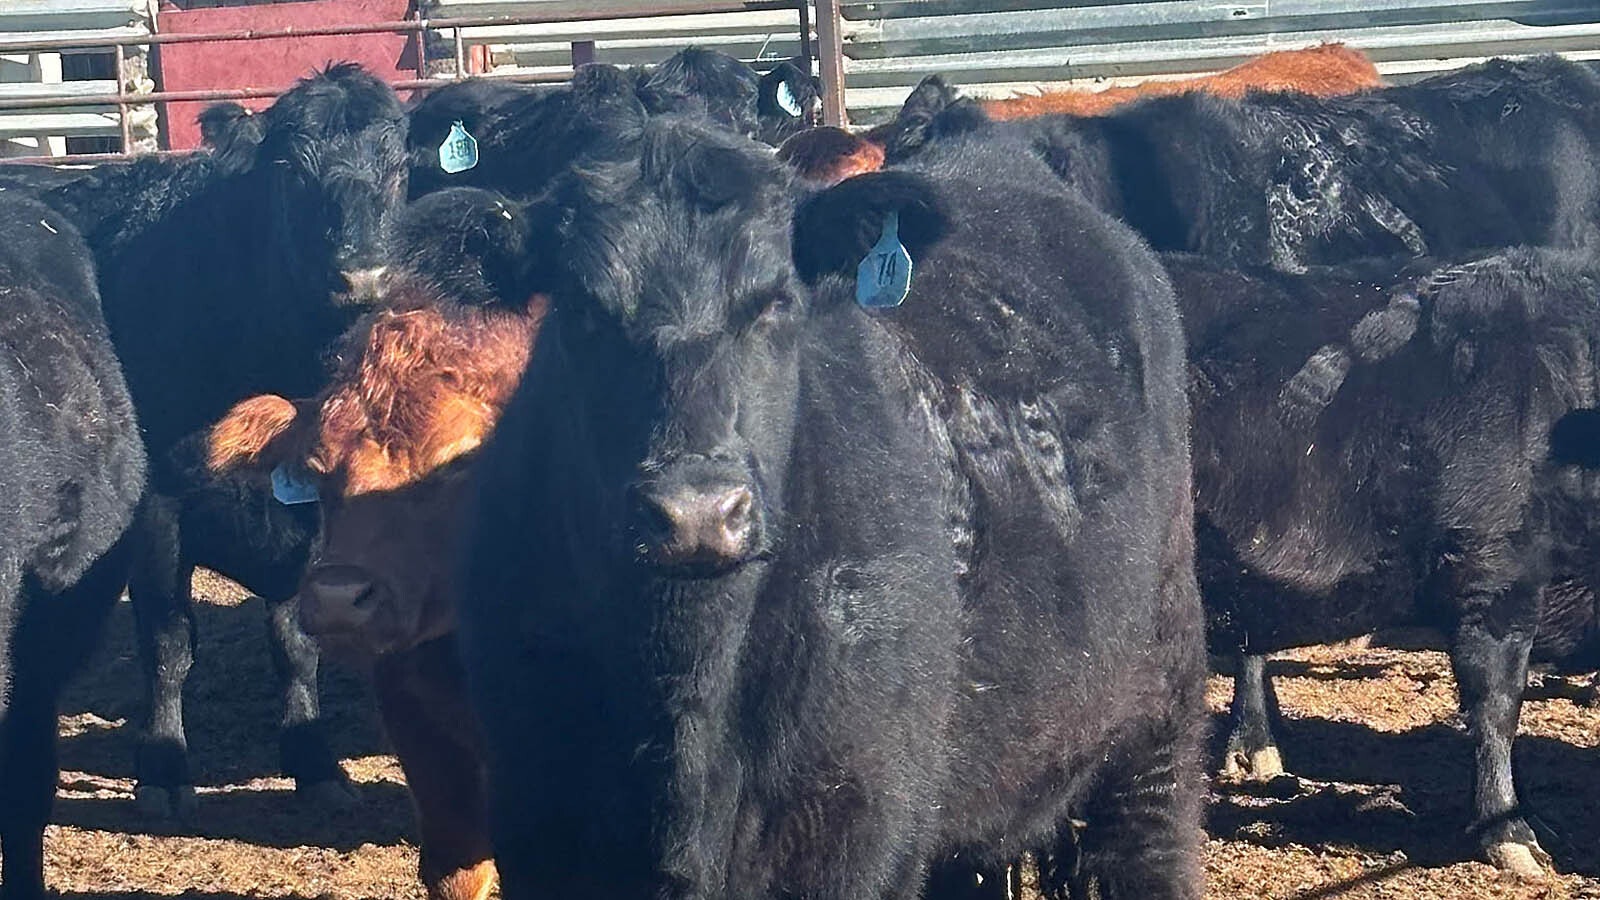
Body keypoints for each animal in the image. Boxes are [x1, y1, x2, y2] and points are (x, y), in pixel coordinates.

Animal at [34, 63, 410, 818]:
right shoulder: (158, 509)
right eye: (290, 171)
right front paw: (163, 766)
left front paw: (313, 759)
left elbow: (295, 642)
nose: (362, 276)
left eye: (399, 167)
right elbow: (169, 641)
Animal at [457, 107, 1205, 900]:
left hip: (1159, 708)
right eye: (581, 312)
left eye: (776, 302)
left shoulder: (858, 830)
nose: (696, 512)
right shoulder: (537, 822)